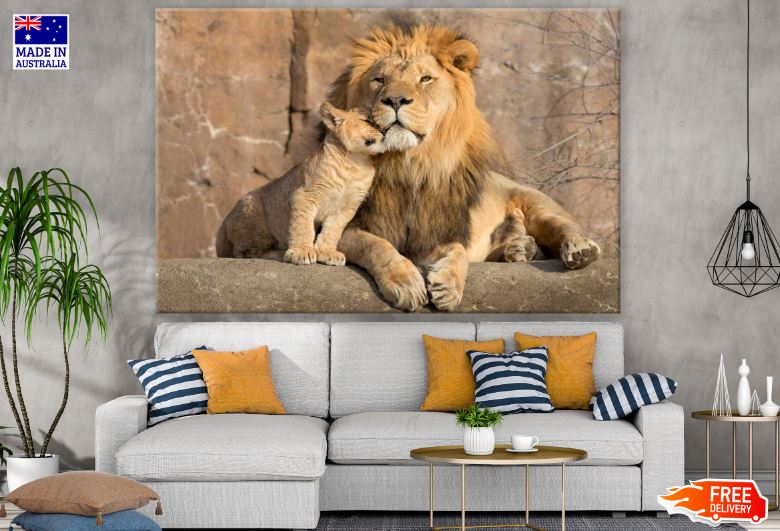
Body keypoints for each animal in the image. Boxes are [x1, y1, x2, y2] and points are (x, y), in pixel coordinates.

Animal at [217, 24, 601, 312]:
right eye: (379, 80)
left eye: (425, 79)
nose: (395, 99)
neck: (409, 167)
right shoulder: (355, 228)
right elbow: (379, 247)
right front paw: (406, 283)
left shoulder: (436, 233)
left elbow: (458, 252)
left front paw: (447, 286)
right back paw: (518, 249)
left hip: (535, 202)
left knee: (564, 226)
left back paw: (575, 249)